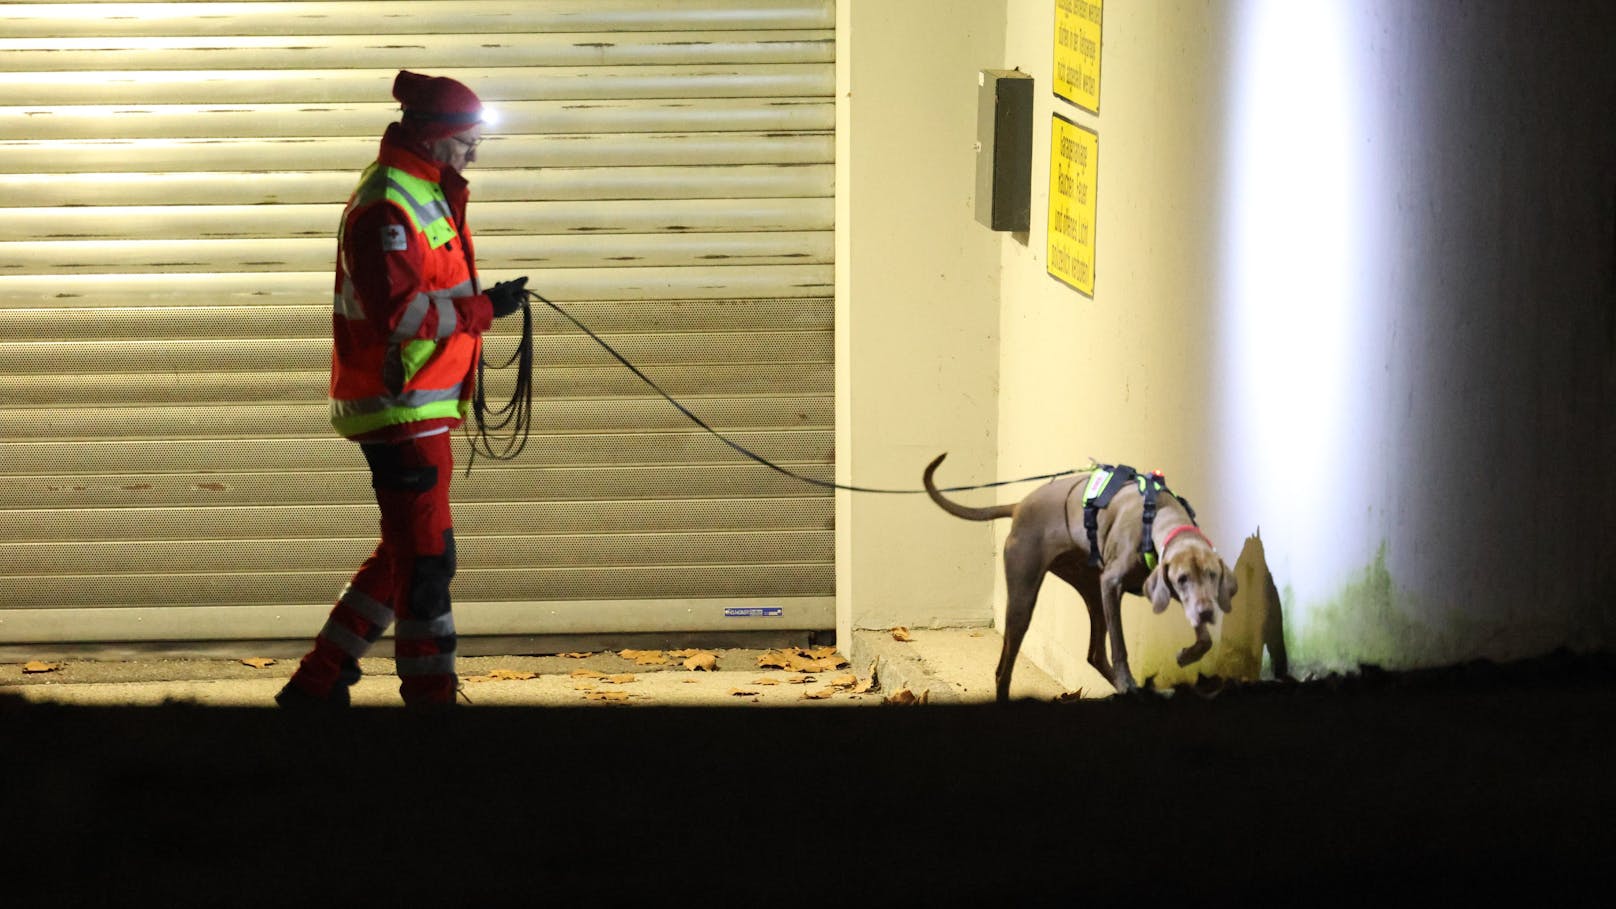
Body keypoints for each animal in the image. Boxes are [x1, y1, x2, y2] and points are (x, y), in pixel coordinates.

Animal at [924, 449, 1234, 695]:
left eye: (1212, 576)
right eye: (1182, 579)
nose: (1207, 612)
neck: (1156, 516)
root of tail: (1019, 506)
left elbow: (1205, 639)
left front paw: (1188, 654)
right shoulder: (1112, 583)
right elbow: (1120, 646)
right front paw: (1127, 679)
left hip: (1091, 589)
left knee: (1094, 654)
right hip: (1025, 596)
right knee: (1004, 669)